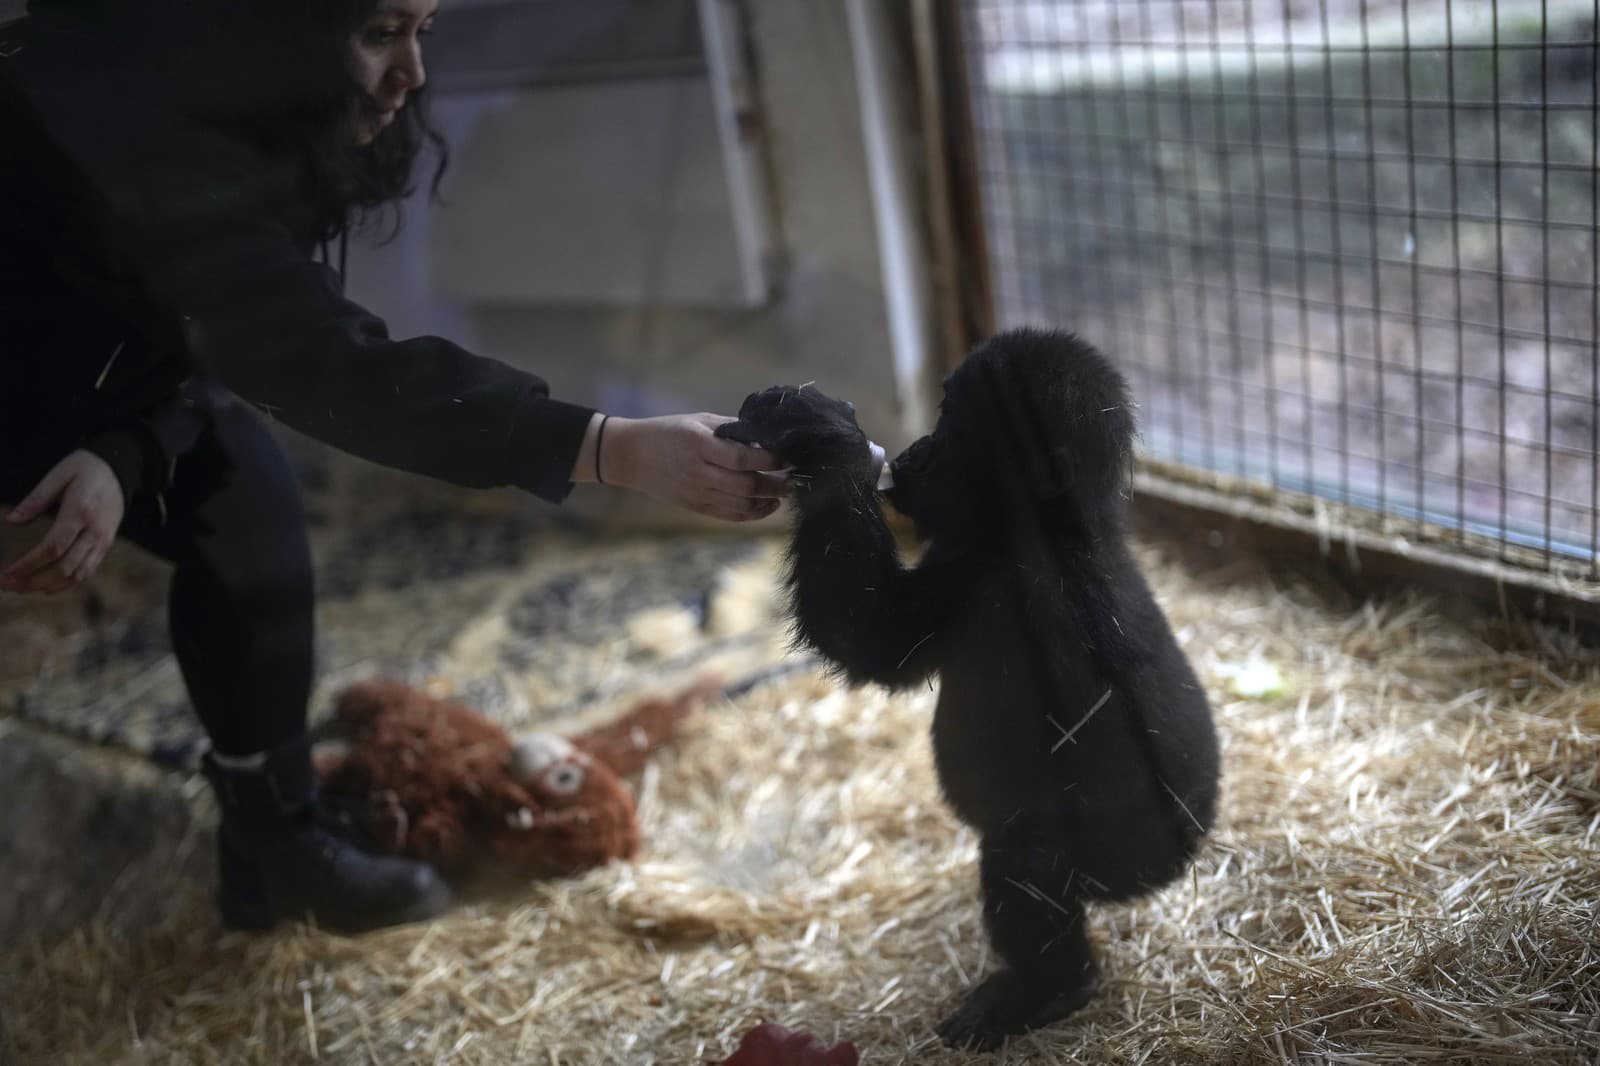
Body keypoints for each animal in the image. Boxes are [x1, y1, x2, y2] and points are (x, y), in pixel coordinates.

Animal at [720, 328, 1216, 1043]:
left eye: (954, 424)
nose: (915, 450)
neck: (1052, 520)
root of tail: (1180, 867)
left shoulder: (997, 586)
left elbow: (865, 631)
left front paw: (826, 444)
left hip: (1124, 859)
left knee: (1025, 861)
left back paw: (1047, 989)